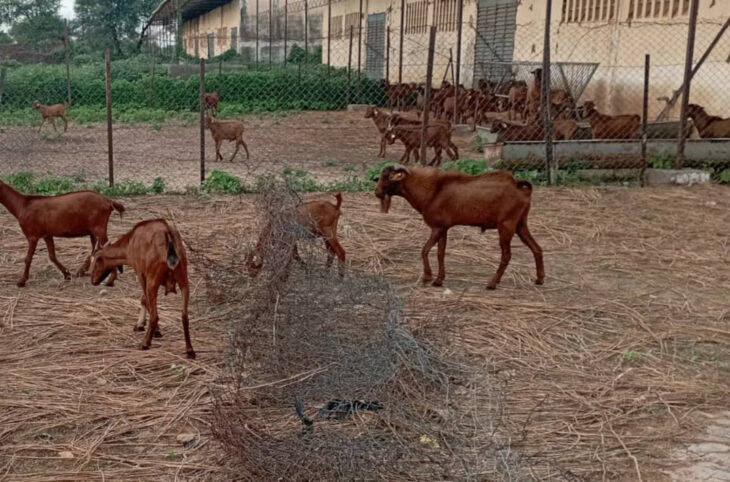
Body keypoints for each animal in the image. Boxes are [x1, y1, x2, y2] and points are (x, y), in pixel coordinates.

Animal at [90, 219, 195, 359]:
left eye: (96, 263)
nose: (93, 281)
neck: (131, 241)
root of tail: (167, 233)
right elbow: (144, 299)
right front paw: (141, 324)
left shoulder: (141, 273)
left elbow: (145, 300)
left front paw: (150, 329)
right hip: (184, 280)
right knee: (184, 315)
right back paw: (190, 350)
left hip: (153, 281)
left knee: (155, 315)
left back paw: (145, 343)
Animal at [374, 165, 544, 290]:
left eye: (387, 177)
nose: (377, 192)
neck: (432, 191)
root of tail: (522, 190)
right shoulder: (443, 228)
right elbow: (440, 253)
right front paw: (438, 280)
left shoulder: (437, 228)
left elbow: (425, 250)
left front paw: (427, 277)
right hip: (520, 224)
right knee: (536, 248)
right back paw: (539, 279)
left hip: (506, 226)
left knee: (507, 255)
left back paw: (492, 283)